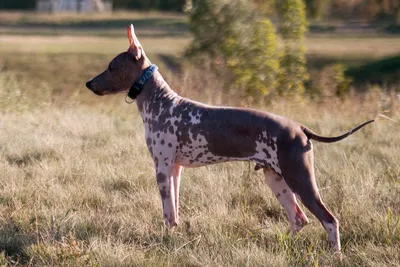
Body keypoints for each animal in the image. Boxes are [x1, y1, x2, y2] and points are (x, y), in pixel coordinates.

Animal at [85, 25, 376, 255]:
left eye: (111, 67)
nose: (89, 84)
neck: (161, 102)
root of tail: (301, 129)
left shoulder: (162, 167)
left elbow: (167, 213)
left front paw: (164, 240)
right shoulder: (175, 169)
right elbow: (174, 212)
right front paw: (172, 237)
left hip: (300, 179)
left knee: (329, 219)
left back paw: (334, 255)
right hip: (276, 179)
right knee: (299, 219)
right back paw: (278, 244)